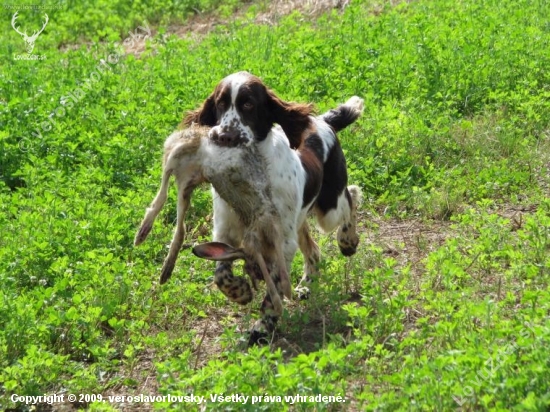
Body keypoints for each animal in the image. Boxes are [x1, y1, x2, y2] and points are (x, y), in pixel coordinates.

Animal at [184, 72, 366, 342]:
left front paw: (263, 325)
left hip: (328, 209)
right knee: (313, 250)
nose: (224, 136)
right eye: (220, 103)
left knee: (351, 195)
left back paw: (347, 242)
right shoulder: (226, 231)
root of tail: (323, 121)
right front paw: (240, 292)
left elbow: (275, 283)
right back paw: (306, 285)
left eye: (248, 104)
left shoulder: (281, 242)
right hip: (300, 218)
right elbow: (221, 274)